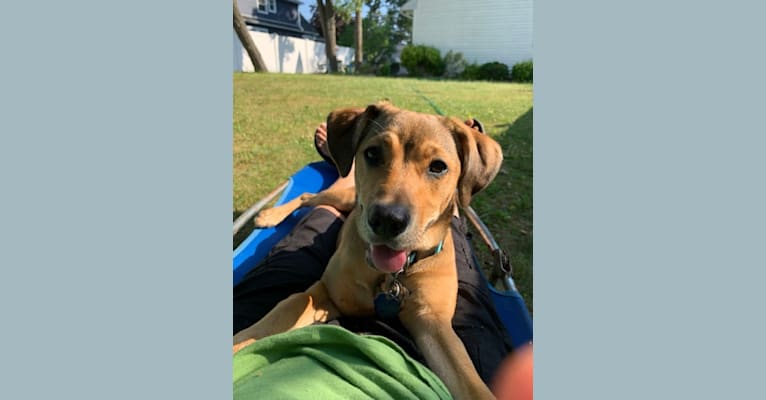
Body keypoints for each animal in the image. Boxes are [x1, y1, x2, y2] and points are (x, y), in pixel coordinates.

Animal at [237, 101, 508, 398]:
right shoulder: (325, 293)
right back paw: (270, 215)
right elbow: (268, 324)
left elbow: (472, 384)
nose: (388, 220)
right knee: (309, 197)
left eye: (438, 166)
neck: (392, 277)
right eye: (373, 153)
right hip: (343, 197)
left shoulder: (434, 325)